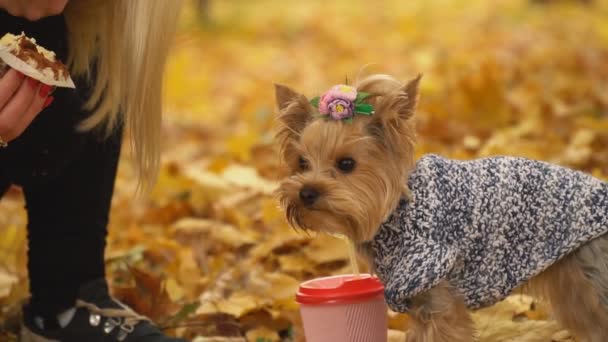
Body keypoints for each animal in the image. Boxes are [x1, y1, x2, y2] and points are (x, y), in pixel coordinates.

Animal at [274, 75, 608, 342]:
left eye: (346, 164)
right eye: (301, 163)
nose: (306, 191)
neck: (395, 213)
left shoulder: (434, 289)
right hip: (575, 290)